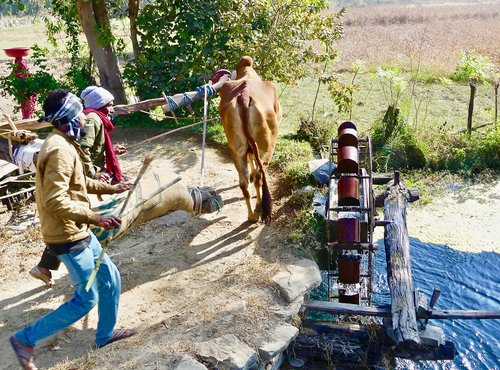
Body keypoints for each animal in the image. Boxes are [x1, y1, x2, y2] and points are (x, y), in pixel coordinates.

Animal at [219, 56, 282, 224]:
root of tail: (244, 96)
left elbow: (250, 159)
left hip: (236, 149)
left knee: (243, 182)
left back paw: (251, 215)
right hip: (266, 147)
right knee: (260, 176)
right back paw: (259, 207)